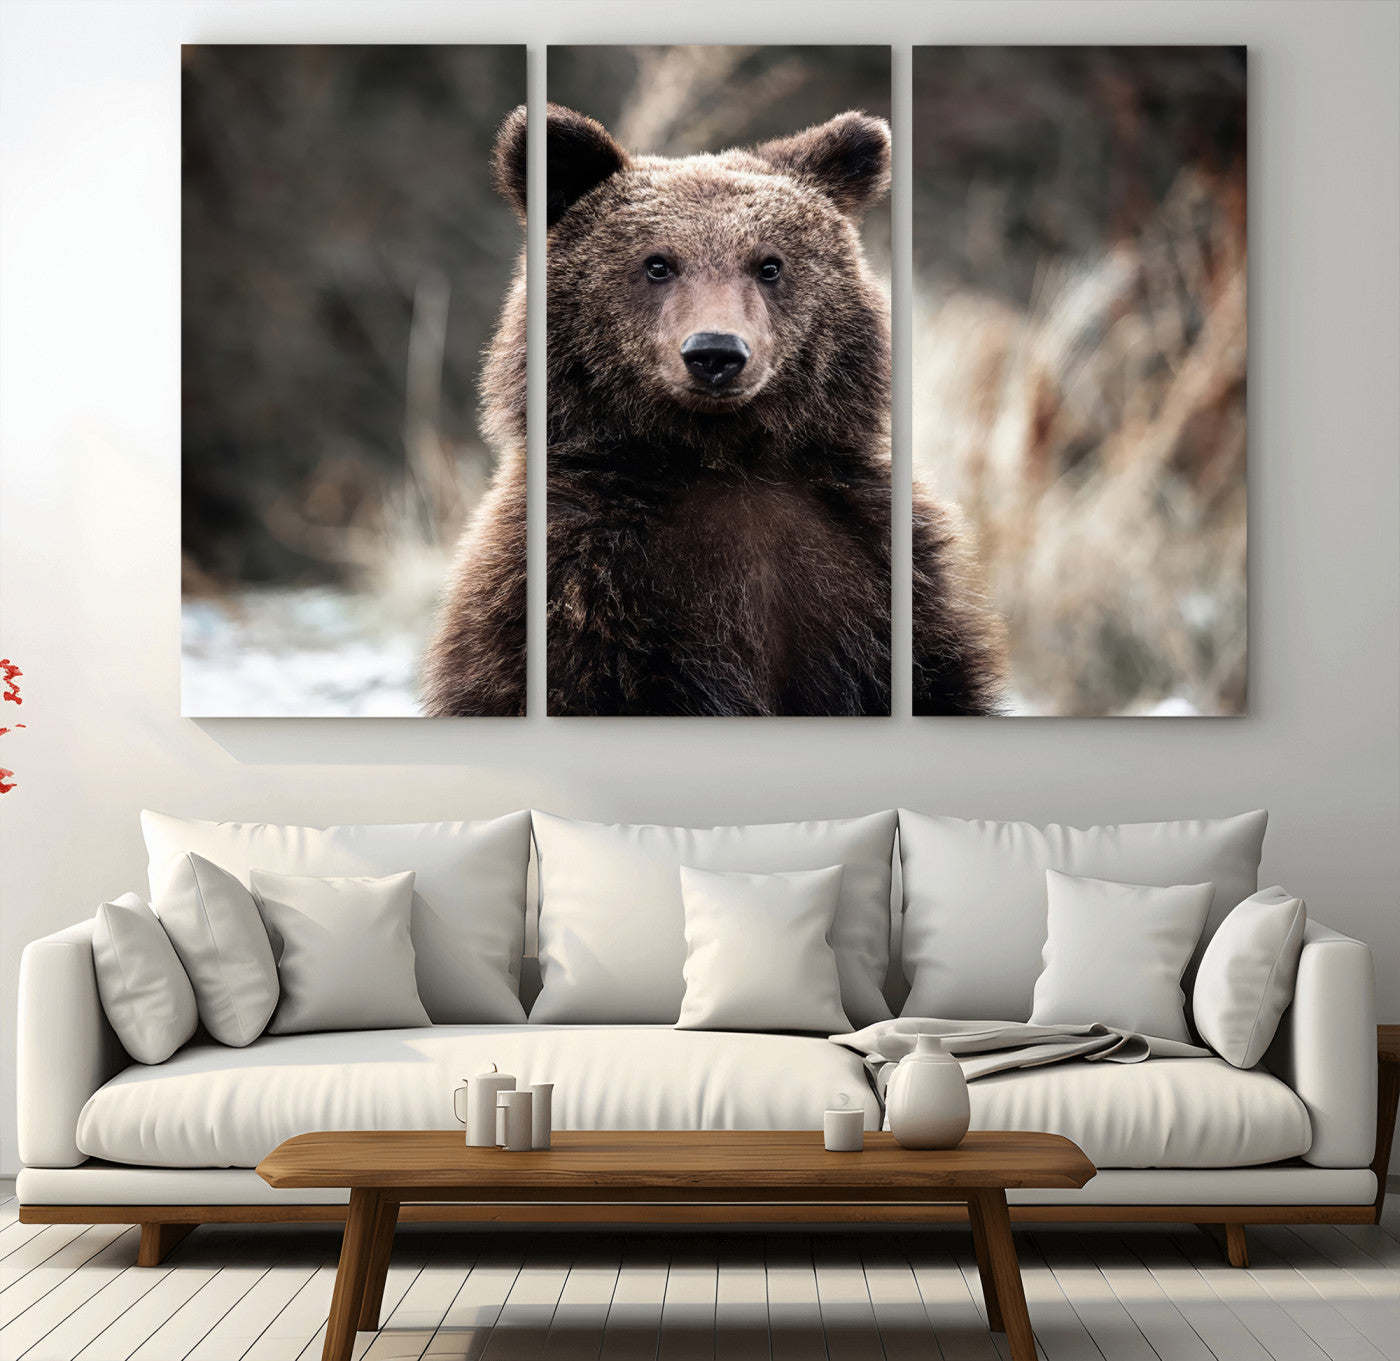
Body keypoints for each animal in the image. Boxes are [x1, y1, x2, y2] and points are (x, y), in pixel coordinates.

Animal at [422, 103, 1005, 717]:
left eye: (769, 265)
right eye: (657, 264)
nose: (715, 353)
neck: (723, 456)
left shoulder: (878, 573)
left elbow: (937, 680)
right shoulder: (579, 584)